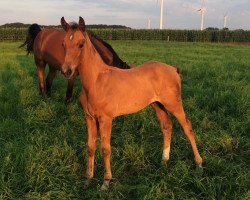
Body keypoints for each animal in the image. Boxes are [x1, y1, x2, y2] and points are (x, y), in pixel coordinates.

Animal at [61, 17, 203, 191]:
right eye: (63, 44)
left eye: (81, 44)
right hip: (158, 105)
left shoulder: (106, 119)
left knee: (187, 127)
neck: (96, 81)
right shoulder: (90, 118)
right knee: (167, 126)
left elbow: (105, 149)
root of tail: (173, 69)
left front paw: (105, 182)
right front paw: (88, 179)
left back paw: (199, 165)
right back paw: (164, 161)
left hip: (174, 104)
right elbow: (90, 147)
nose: (66, 71)